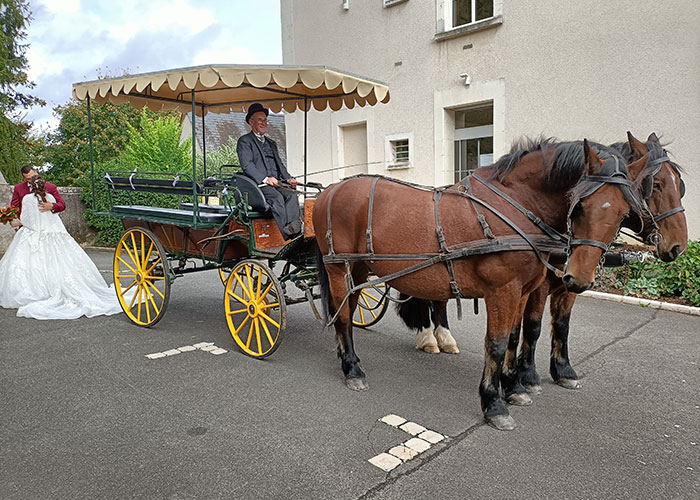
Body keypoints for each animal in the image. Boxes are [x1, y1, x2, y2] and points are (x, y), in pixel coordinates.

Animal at [312, 139, 644, 428]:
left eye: (623, 212)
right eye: (579, 206)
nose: (578, 279)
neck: (516, 206)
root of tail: (329, 191)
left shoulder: (522, 291)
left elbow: (514, 337)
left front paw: (514, 387)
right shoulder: (503, 291)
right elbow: (496, 344)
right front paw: (494, 403)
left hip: (357, 269)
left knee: (348, 308)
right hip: (339, 268)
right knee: (343, 316)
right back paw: (352, 369)